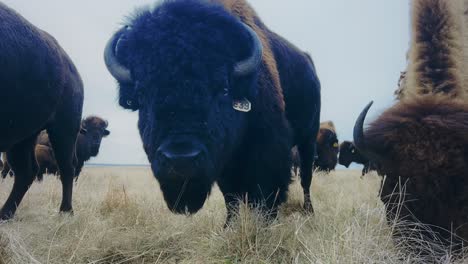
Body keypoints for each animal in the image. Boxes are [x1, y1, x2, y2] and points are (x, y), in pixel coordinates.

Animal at [0, 3, 83, 220]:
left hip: (63, 128)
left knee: (67, 167)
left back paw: (65, 211)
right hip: (23, 135)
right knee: (26, 171)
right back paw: (5, 214)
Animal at [103, 0, 320, 225]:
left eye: (223, 89)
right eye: (142, 93)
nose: (181, 159)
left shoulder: (269, 150)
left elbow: (266, 192)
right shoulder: (224, 164)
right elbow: (231, 196)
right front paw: (229, 225)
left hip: (308, 140)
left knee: (306, 179)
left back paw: (309, 212)